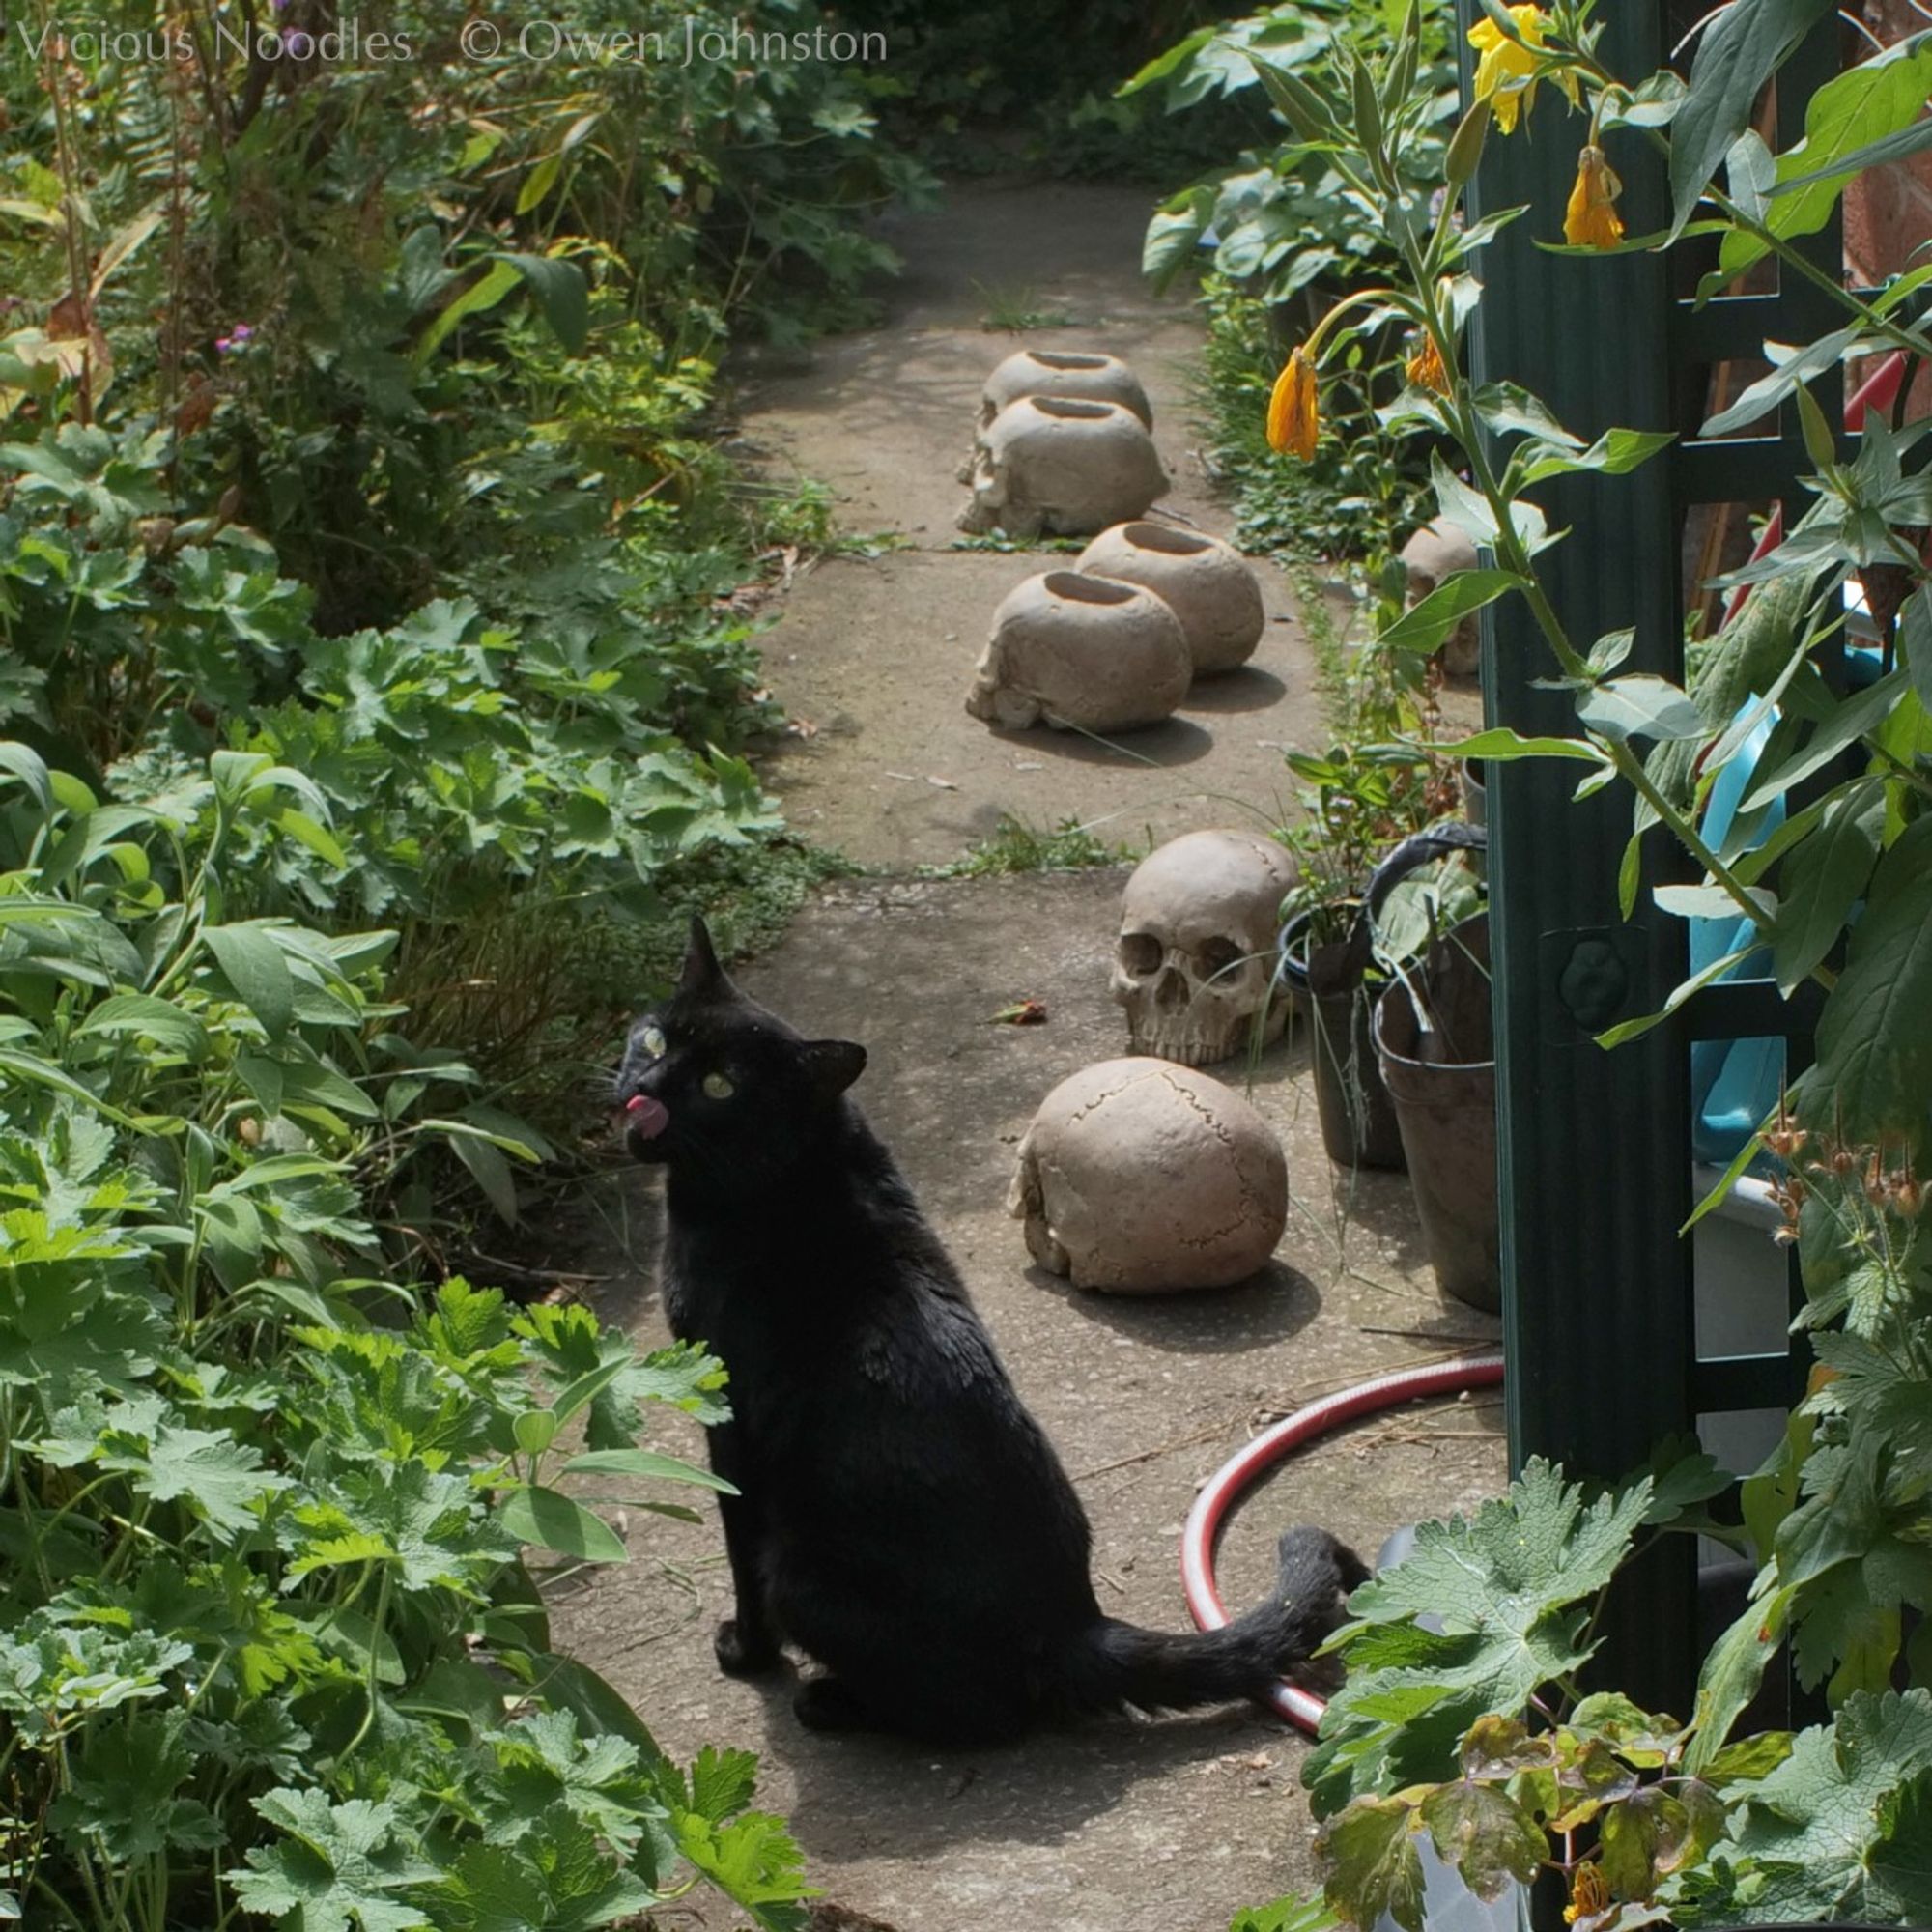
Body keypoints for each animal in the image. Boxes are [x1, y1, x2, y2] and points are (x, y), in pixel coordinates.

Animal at [611, 912, 1368, 1747]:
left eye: (720, 1085)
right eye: (654, 1039)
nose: (644, 1090)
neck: (796, 1169)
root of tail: (1075, 1627)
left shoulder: (727, 1421)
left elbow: (737, 1551)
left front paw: (744, 1653)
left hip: (801, 1576)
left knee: (975, 1713)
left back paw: (831, 1703)